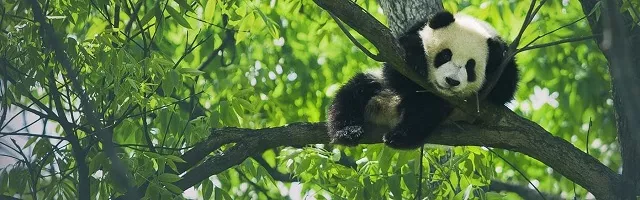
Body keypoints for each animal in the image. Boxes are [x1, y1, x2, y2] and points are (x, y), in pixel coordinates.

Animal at [328, 10, 516, 149]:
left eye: (470, 67)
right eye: (445, 55)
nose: (451, 81)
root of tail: (389, 113)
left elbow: (505, 89)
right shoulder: (410, 34)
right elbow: (396, 68)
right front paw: (417, 59)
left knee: (424, 113)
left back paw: (398, 136)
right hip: (380, 88)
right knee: (354, 93)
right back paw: (347, 132)